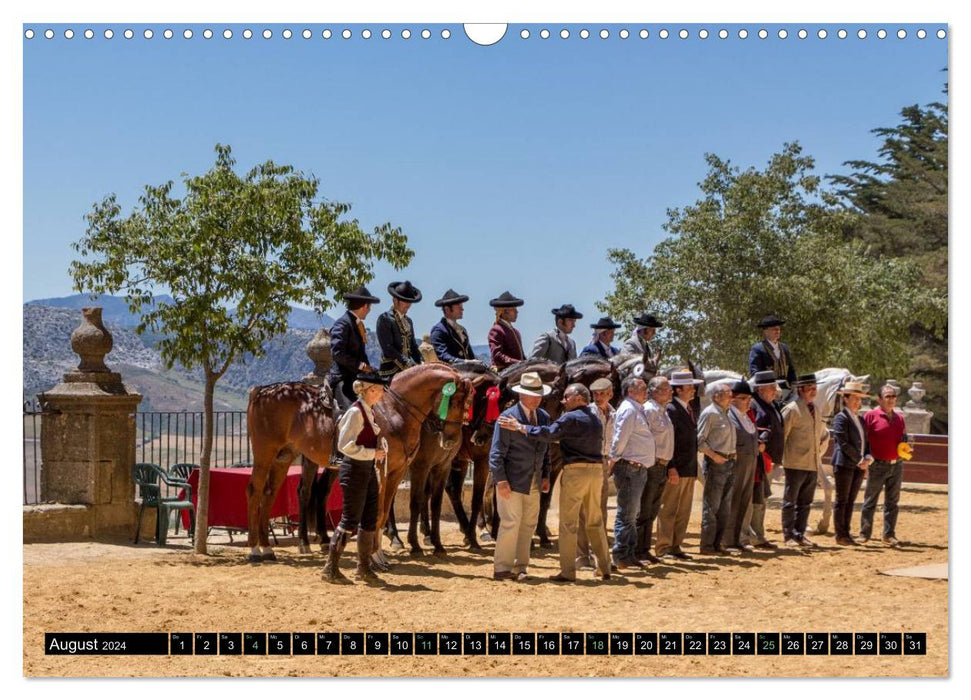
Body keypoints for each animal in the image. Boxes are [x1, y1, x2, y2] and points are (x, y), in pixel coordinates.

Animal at [247, 382, 338, 564]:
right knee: (256, 491)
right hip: (264, 454)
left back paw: (267, 548)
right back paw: (256, 550)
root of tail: (261, 390)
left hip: (283, 458)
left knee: (269, 494)